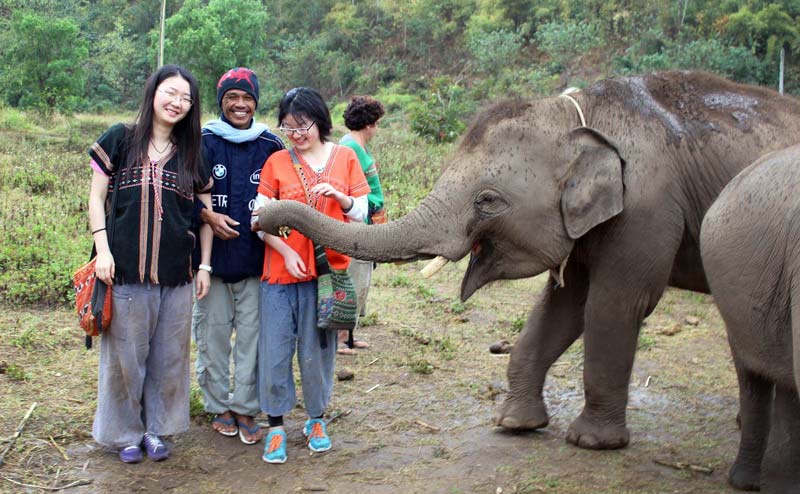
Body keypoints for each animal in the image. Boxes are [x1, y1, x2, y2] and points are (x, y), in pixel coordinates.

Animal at [255, 71, 800, 450]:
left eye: (488, 200)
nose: (261, 217)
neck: (578, 116)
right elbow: (563, 302)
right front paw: (514, 424)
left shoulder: (647, 207)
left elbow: (615, 303)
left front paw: (590, 442)